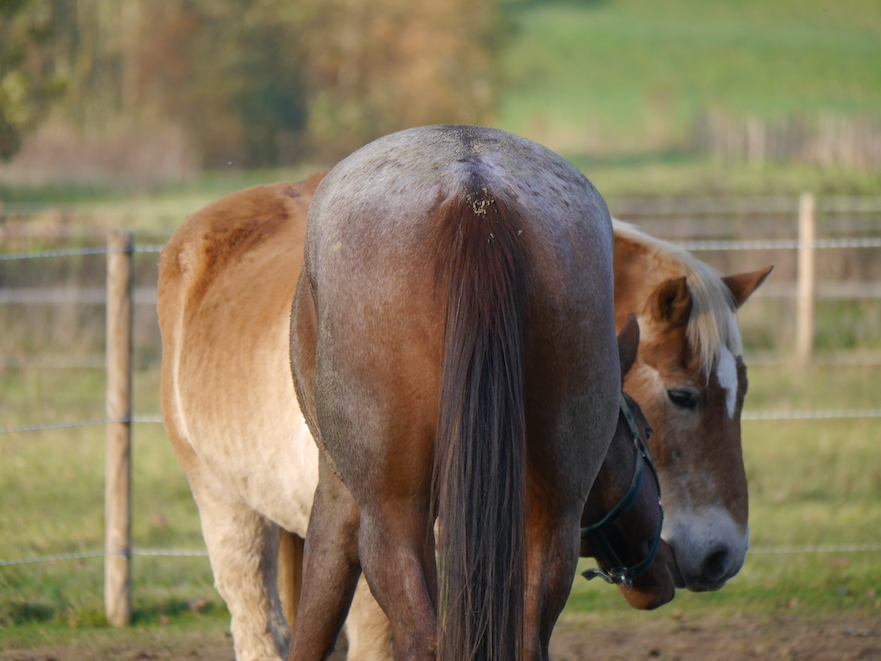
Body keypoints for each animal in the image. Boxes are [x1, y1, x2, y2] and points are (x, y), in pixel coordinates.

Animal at [288, 125, 620, 660]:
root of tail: (475, 193)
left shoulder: (338, 493)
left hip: (392, 513)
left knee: (421, 635)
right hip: (555, 511)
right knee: (528, 631)